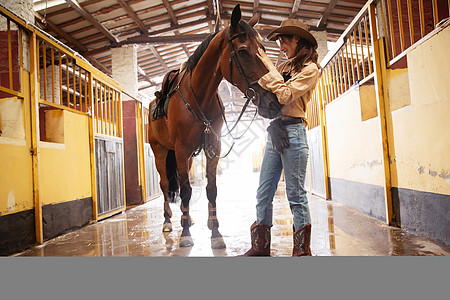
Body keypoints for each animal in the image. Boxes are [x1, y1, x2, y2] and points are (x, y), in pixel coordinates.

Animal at [148, 5, 282, 248]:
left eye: (263, 49)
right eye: (243, 51)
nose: (274, 101)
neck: (199, 96)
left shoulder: (213, 145)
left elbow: (210, 188)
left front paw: (215, 232)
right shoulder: (181, 148)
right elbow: (186, 190)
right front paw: (185, 235)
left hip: (188, 156)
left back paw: (187, 218)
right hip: (161, 150)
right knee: (165, 184)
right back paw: (169, 222)